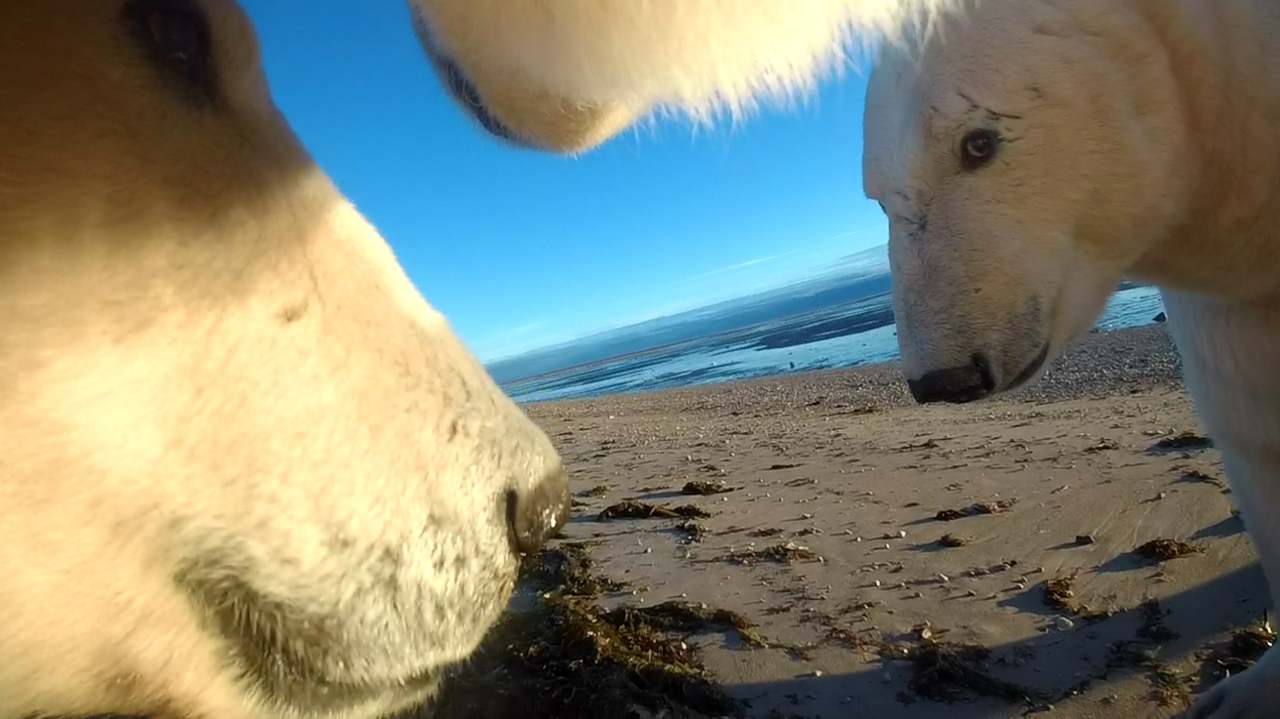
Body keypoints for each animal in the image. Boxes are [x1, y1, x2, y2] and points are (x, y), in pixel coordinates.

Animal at [855, 1, 1280, 716]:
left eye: (978, 143)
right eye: (877, 194)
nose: (944, 378)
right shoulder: (1227, 311)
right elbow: (1253, 435)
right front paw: (1244, 693)